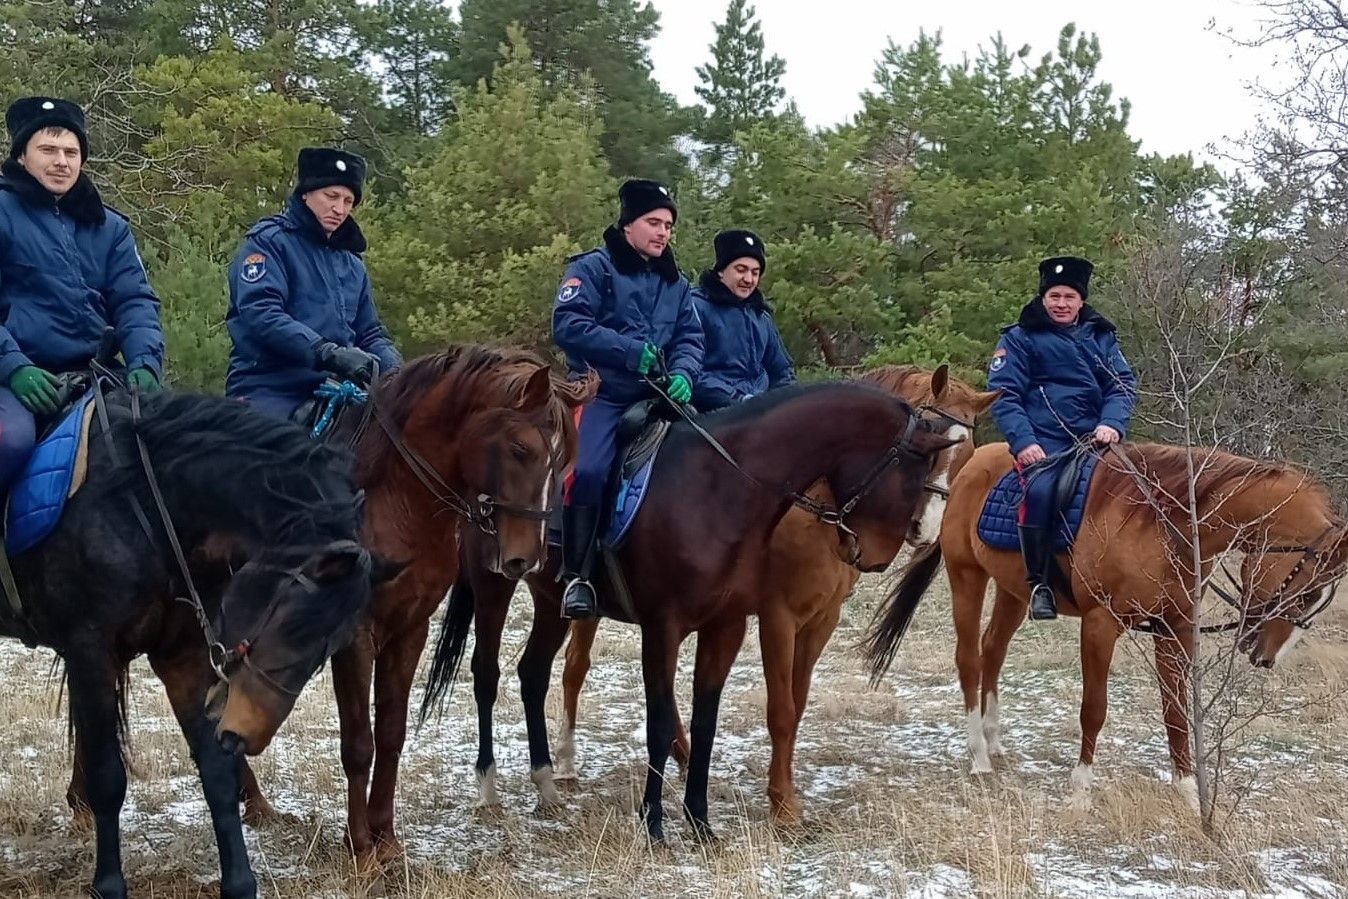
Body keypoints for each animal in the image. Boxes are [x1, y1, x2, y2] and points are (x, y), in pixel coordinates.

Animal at [0, 390, 393, 899]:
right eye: (292, 625)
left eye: (329, 647)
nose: (247, 735)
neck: (139, 503)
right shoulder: (90, 653)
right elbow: (108, 776)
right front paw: (108, 884)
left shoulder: (183, 657)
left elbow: (216, 773)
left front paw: (240, 882)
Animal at [425, 382, 965, 846]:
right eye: (917, 472)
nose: (885, 553)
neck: (717, 488)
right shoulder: (667, 629)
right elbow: (661, 722)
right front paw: (655, 824)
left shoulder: (727, 627)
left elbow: (707, 720)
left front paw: (700, 821)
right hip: (495, 584)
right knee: (486, 674)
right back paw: (489, 788)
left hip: (551, 602)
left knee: (533, 674)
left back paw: (546, 786)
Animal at [541, 363, 997, 824]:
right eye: (925, 459)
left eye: (968, 454)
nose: (924, 532)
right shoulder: (777, 616)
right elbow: (780, 709)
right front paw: (782, 806)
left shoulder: (818, 621)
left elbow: (795, 705)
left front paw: (784, 794)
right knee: (576, 667)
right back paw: (565, 763)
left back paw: (681, 754)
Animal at [862, 442, 1348, 808]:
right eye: (1307, 593)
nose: (1265, 657)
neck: (1166, 524)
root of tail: (972, 463)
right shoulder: (1099, 626)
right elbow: (1093, 709)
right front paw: (1080, 790)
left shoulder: (1175, 630)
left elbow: (1176, 712)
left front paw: (1188, 794)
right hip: (967, 577)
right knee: (968, 657)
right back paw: (979, 755)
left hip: (1014, 592)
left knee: (993, 649)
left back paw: (993, 739)